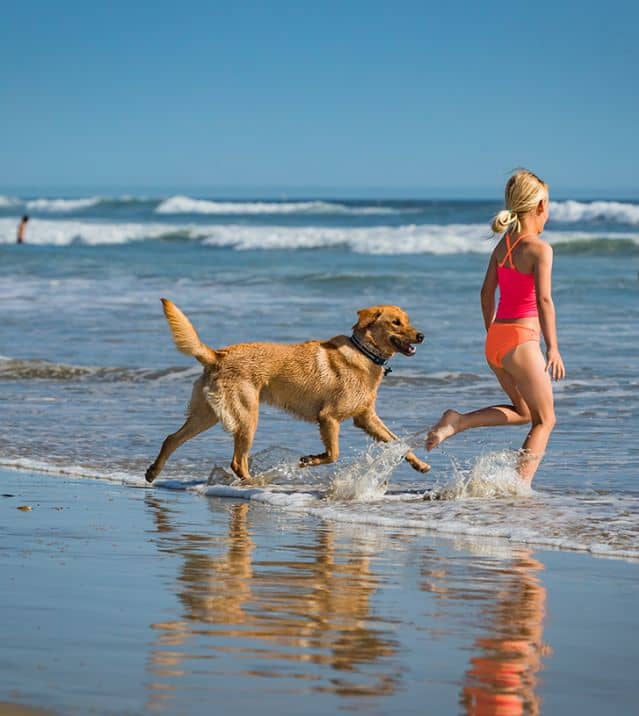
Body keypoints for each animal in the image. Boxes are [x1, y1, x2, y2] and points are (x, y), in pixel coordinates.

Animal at [146, 300, 430, 484]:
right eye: (396, 323)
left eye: (408, 321)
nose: (422, 335)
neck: (364, 352)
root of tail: (218, 355)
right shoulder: (328, 418)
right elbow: (333, 454)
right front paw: (310, 460)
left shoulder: (366, 418)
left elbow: (398, 442)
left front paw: (420, 464)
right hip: (247, 417)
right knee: (237, 461)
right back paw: (255, 484)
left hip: (208, 415)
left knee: (172, 439)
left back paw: (153, 472)